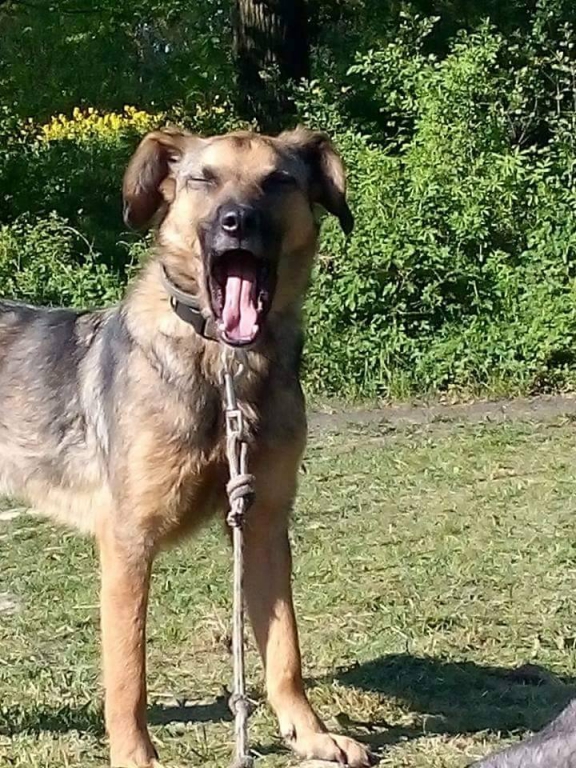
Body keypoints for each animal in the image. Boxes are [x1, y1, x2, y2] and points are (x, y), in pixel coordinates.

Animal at [0, 126, 373, 767]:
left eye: (278, 180)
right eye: (204, 178)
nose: (236, 221)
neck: (224, 368)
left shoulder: (262, 524)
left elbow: (285, 650)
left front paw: (311, 735)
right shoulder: (128, 542)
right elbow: (128, 674)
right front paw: (134, 757)